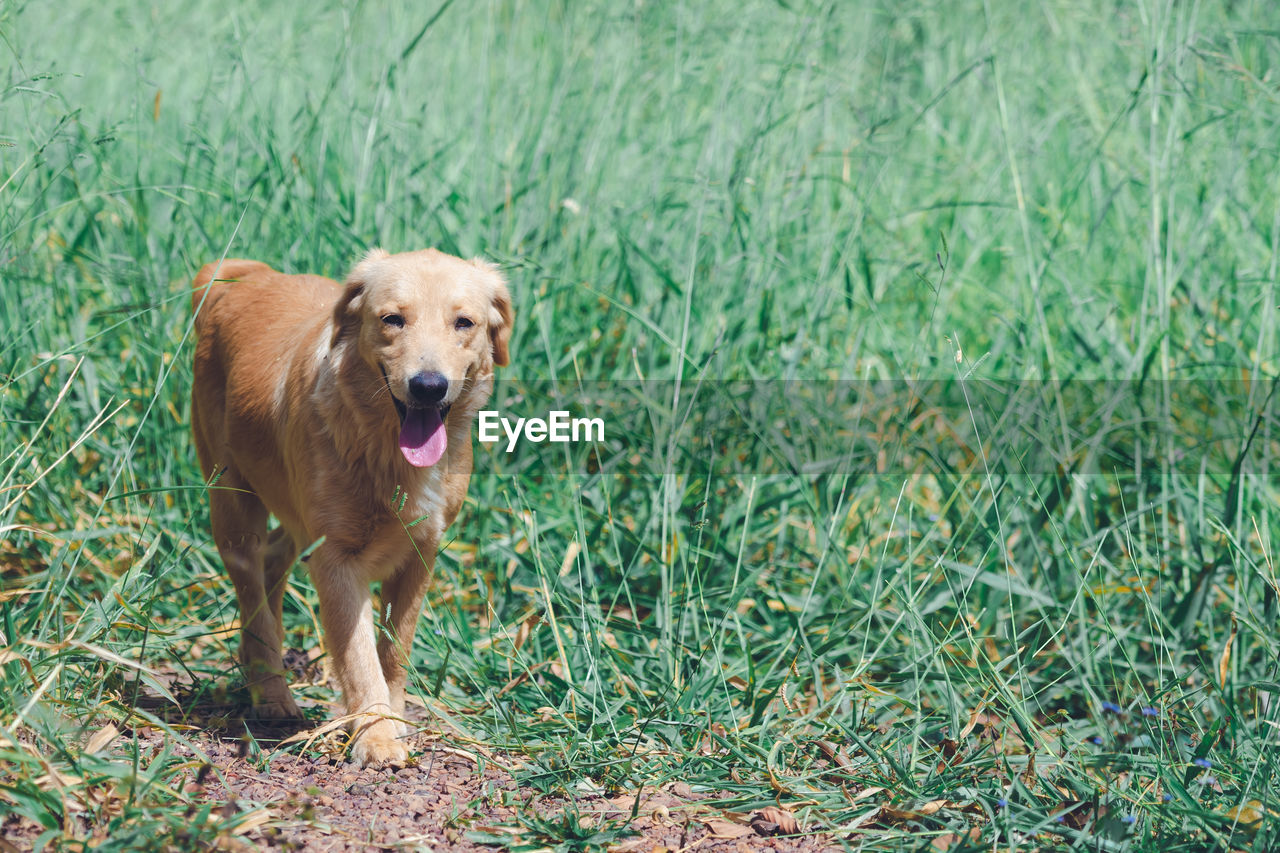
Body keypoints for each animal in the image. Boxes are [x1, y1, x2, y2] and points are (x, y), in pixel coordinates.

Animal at [189, 245, 509, 763]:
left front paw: (392, 719)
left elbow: (393, 650)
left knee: (274, 558)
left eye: (464, 322)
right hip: (233, 507)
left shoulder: (421, 553)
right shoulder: (337, 560)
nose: (428, 386)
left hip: (295, 515)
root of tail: (250, 276)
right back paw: (271, 692)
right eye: (392, 319)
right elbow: (359, 657)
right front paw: (375, 734)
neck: (384, 449)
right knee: (254, 597)